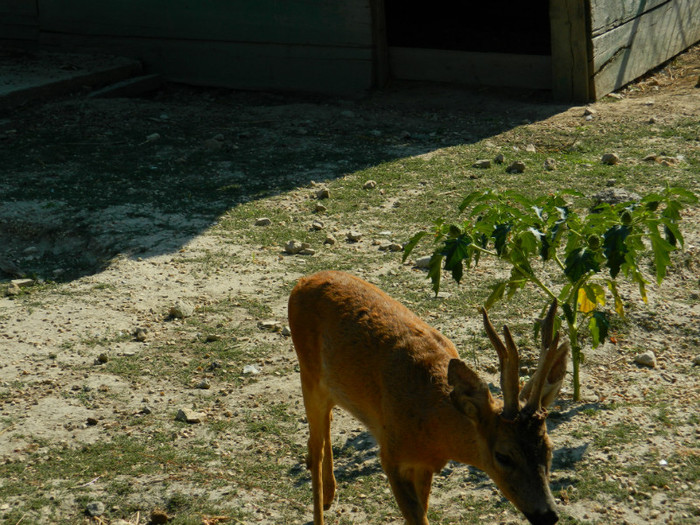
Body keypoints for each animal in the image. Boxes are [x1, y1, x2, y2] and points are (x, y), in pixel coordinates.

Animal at [288, 270, 568, 524]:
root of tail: (302, 282)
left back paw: (329, 495)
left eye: (549, 448)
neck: (432, 425)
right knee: (315, 447)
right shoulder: (390, 456)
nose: (548, 515)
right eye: (503, 455)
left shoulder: (425, 465)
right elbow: (417, 518)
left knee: (326, 426)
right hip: (308, 374)